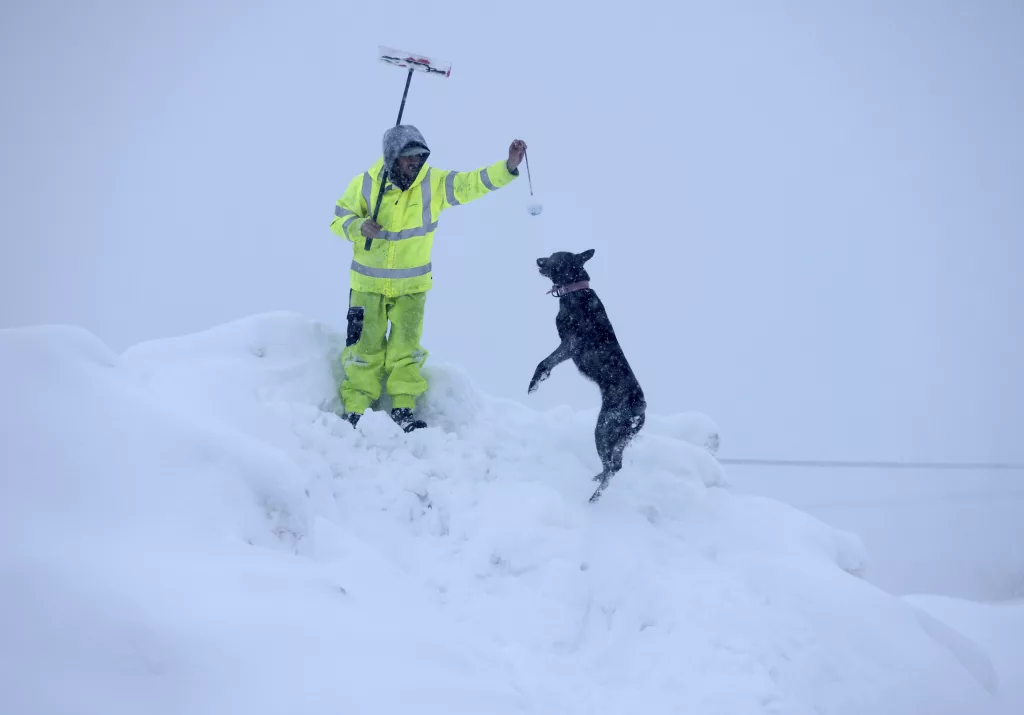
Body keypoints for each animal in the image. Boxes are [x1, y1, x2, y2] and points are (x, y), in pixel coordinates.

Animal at [532, 250, 643, 501]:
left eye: (554, 256)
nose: (538, 261)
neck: (575, 290)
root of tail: (640, 410)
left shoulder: (570, 345)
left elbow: (544, 362)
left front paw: (536, 382)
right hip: (619, 437)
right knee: (614, 464)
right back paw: (598, 480)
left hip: (604, 428)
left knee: (614, 466)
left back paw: (595, 497)